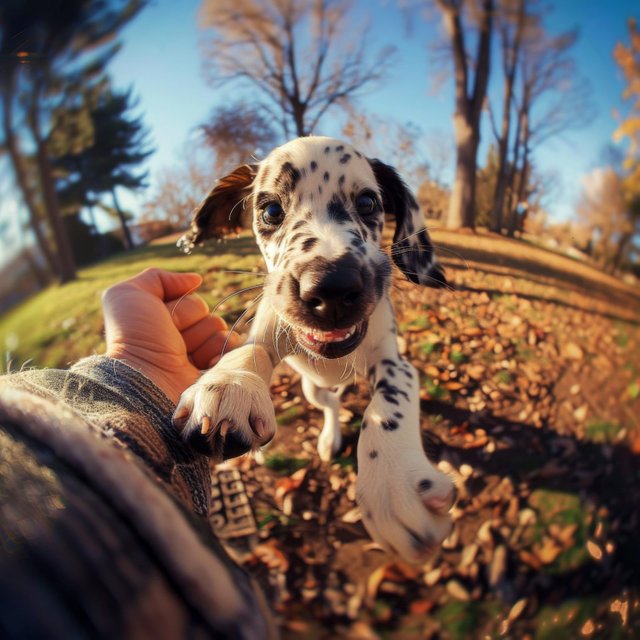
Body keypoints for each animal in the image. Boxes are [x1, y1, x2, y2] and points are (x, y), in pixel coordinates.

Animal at [175, 135, 456, 560]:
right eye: (271, 210)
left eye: (368, 203)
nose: (333, 287)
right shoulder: (268, 330)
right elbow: (251, 352)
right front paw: (230, 386)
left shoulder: (395, 363)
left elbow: (389, 399)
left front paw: (393, 481)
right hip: (311, 388)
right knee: (331, 404)